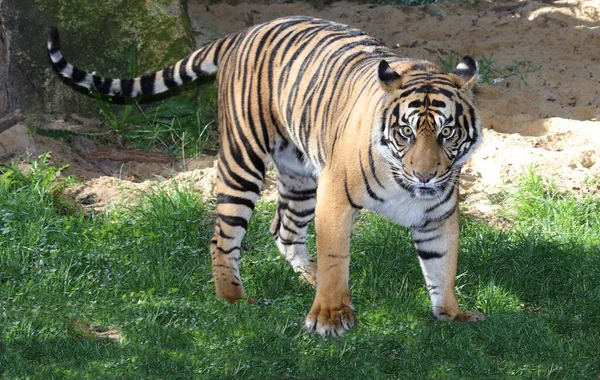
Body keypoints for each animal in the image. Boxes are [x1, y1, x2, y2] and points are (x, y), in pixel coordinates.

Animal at [49, 14, 486, 336]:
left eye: (447, 132)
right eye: (405, 132)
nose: (425, 175)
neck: (406, 185)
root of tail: (243, 32)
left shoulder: (437, 217)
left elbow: (443, 266)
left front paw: (452, 314)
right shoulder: (336, 198)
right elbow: (336, 257)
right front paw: (330, 316)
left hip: (301, 176)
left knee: (283, 228)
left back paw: (307, 275)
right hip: (243, 162)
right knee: (223, 236)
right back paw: (233, 297)